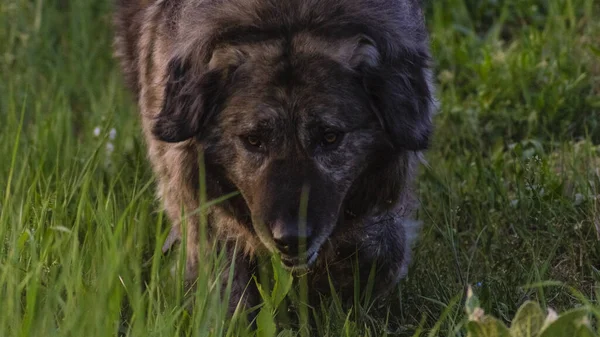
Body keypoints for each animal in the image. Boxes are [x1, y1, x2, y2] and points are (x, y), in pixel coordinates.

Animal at [112, 0, 434, 316]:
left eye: (330, 137)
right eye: (254, 140)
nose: (292, 239)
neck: (289, 13)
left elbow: (383, 246)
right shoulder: (192, 187)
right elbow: (221, 270)